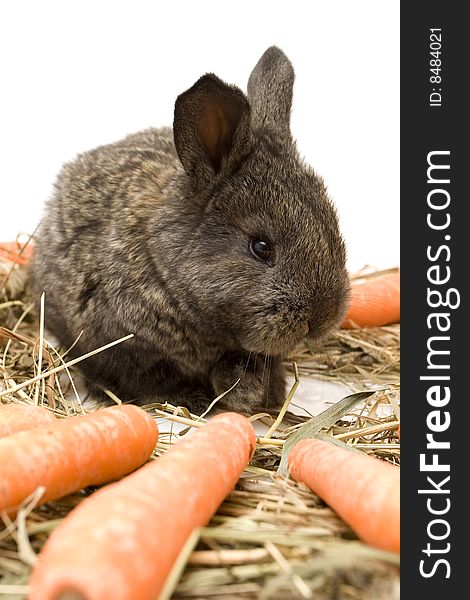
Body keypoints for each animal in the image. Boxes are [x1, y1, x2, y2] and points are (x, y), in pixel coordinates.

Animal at [29, 47, 350, 414]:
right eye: (261, 246)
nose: (322, 318)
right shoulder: (122, 345)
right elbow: (147, 377)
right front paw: (196, 398)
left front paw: (257, 392)